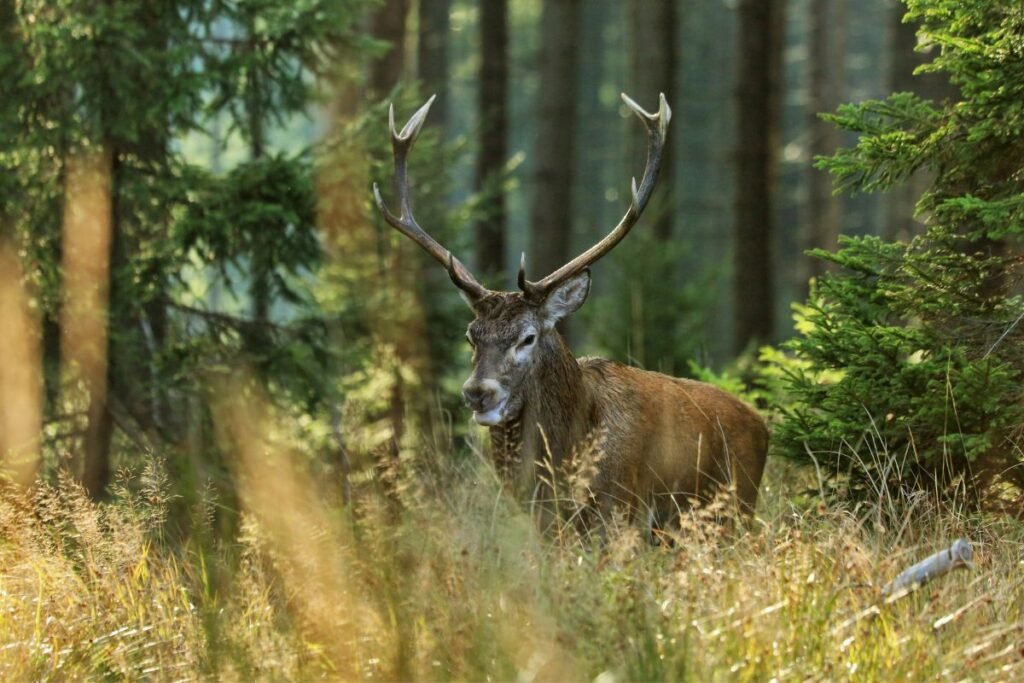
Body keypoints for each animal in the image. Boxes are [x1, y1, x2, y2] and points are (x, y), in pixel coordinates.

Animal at [373, 93, 768, 536]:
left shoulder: (620, 512)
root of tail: (763, 425)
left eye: (528, 337)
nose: (477, 392)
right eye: (471, 335)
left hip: (732, 508)